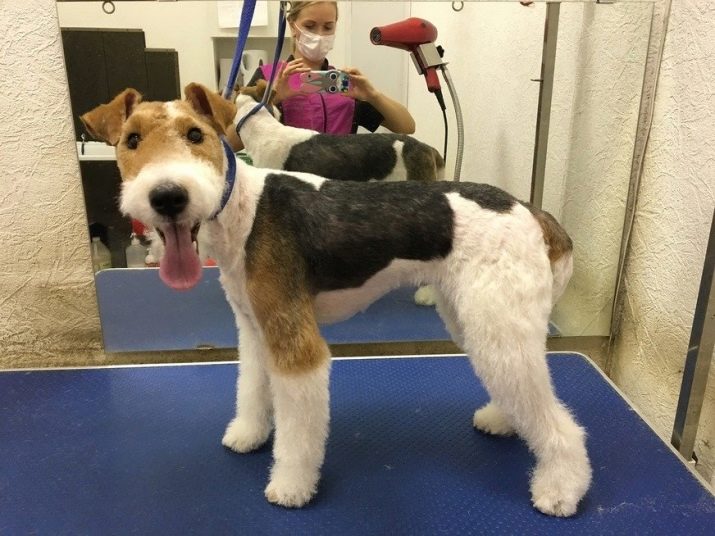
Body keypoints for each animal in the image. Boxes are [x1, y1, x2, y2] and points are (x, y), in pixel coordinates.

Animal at [81, 83, 592, 517]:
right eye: (131, 140)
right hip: (477, 320)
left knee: (561, 424)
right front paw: (248, 434)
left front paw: (290, 487)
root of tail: (533, 213)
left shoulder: (296, 344)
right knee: (522, 392)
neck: (243, 211)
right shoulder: (255, 327)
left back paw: (559, 489)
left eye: (195, 134)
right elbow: (252, 389)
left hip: (497, 323)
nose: (168, 197)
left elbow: (298, 433)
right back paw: (502, 419)